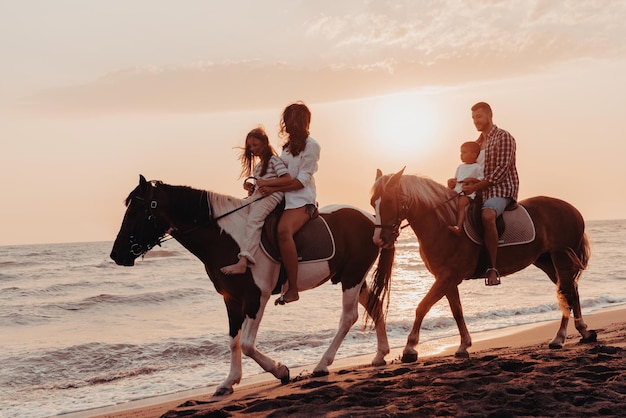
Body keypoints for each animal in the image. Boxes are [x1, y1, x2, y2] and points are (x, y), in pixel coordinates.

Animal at [109, 176, 392, 396]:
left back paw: (322, 364)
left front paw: (281, 370)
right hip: (352, 277)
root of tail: (372, 220)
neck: (226, 239)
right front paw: (229, 382)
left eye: (134, 212)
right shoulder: (231, 298)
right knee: (375, 306)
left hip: (352, 277)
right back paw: (380, 355)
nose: (116, 254)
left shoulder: (257, 297)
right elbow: (233, 341)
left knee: (348, 317)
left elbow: (246, 343)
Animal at [370, 167, 596, 362]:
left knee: (567, 292)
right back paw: (582, 332)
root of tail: (573, 210)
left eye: (388, 201)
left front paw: (409, 349)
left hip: (560, 258)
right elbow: (457, 311)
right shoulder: (447, 280)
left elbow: (422, 307)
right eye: (373, 203)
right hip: (546, 262)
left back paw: (561, 337)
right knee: (571, 290)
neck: (444, 225)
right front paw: (463, 345)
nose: (379, 239)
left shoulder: (447, 277)